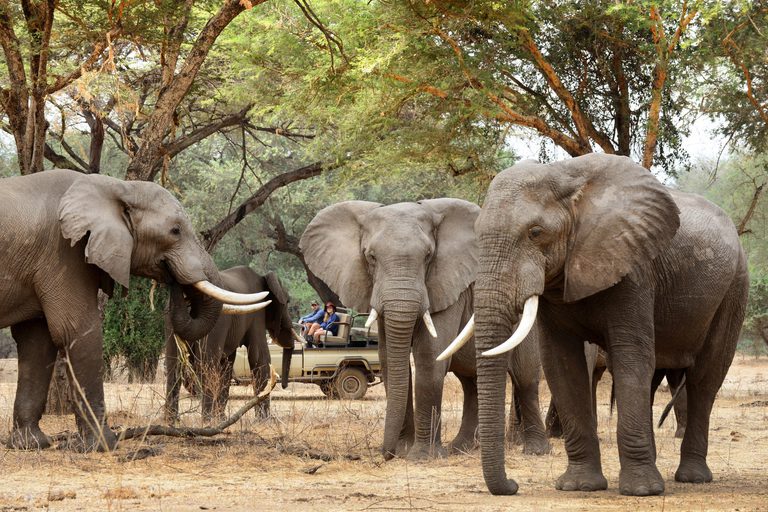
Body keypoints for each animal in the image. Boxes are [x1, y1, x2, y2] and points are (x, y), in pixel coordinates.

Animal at [0, 169, 268, 451]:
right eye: (175, 231)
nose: (174, 280)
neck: (116, 186)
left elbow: (37, 340)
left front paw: (31, 444)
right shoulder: (64, 252)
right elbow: (76, 330)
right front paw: (105, 446)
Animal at [165, 266, 299, 422]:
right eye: (288, 302)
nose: (284, 385)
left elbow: (228, 364)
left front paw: (222, 419)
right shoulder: (257, 316)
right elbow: (260, 357)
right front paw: (264, 421)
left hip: (170, 321)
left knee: (174, 365)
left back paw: (172, 420)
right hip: (215, 323)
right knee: (207, 363)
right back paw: (207, 421)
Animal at [300, 199, 551, 459]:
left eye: (428, 256)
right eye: (371, 257)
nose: (386, 453)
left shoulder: (446, 286)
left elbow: (429, 358)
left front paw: (422, 456)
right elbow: (389, 360)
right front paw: (404, 450)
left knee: (525, 377)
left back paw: (535, 451)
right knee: (470, 381)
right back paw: (460, 448)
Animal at [455, 153, 747, 496]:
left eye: (536, 232)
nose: (513, 485)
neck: (565, 179)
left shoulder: (634, 267)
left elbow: (630, 356)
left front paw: (641, 491)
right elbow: (560, 363)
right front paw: (580, 486)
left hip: (734, 287)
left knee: (705, 379)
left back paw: (692, 477)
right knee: (654, 380)